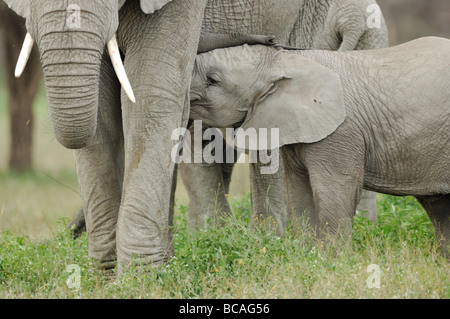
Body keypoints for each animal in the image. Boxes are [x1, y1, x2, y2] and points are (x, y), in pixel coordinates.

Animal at [188, 37, 450, 258]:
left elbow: (335, 191)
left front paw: (332, 262)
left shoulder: (341, 132)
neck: (285, 59)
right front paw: (305, 256)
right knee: (438, 206)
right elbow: (297, 194)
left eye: (213, 79)